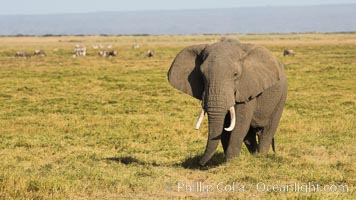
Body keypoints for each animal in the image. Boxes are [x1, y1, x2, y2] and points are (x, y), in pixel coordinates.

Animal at [168, 38, 288, 166]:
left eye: (235, 75)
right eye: (202, 75)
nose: (199, 163)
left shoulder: (247, 87)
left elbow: (240, 124)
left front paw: (231, 162)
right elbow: (225, 128)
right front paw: (227, 161)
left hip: (281, 97)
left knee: (267, 131)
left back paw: (260, 157)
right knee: (249, 136)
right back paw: (254, 155)